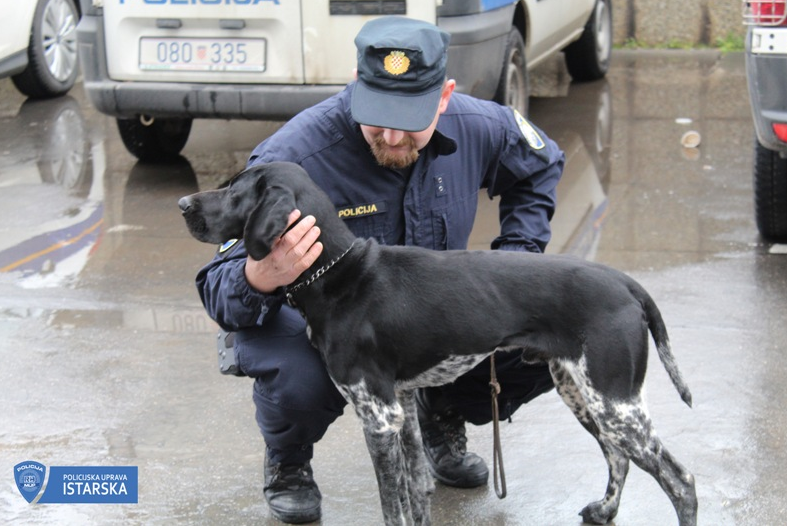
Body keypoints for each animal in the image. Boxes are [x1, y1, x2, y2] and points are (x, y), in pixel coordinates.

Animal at [179, 163, 696, 524]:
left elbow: (393, 505)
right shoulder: (402, 407)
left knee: (681, 479)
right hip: (585, 395)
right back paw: (604, 512)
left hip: (615, 402)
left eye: (235, 190)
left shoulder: (378, 418)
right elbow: (416, 494)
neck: (338, 272)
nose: (183, 203)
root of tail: (626, 283)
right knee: (619, 458)